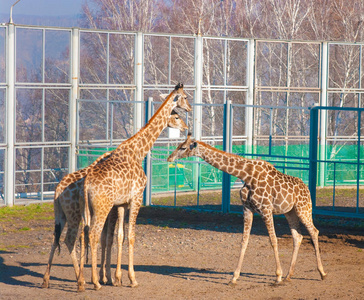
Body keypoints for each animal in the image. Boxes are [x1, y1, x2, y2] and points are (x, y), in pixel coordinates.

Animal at [41, 109, 188, 290]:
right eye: (177, 116)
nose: (186, 127)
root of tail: (57, 190)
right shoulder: (118, 206)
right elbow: (113, 237)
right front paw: (113, 278)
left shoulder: (116, 206)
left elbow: (113, 237)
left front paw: (111, 277)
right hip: (77, 214)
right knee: (78, 237)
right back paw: (84, 281)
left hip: (63, 214)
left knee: (60, 238)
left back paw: (49, 280)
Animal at [79, 82, 193, 290]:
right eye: (177, 114)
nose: (186, 124)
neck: (138, 151)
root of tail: (87, 183)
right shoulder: (136, 198)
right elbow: (131, 236)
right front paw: (131, 279)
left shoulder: (122, 203)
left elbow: (120, 236)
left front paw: (117, 278)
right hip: (102, 207)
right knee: (94, 234)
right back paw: (96, 282)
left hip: (89, 209)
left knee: (86, 234)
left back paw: (83, 280)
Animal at [168, 134, 328, 286]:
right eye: (179, 145)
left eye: (183, 147)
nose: (169, 157)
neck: (247, 175)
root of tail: (307, 188)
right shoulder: (247, 209)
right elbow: (244, 241)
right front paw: (234, 277)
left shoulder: (266, 209)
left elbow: (273, 240)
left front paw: (277, 277)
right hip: (290, 212)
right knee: (298, 236)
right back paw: (289, 275)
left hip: (303, 209)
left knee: (314, 231)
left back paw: (322, 273)